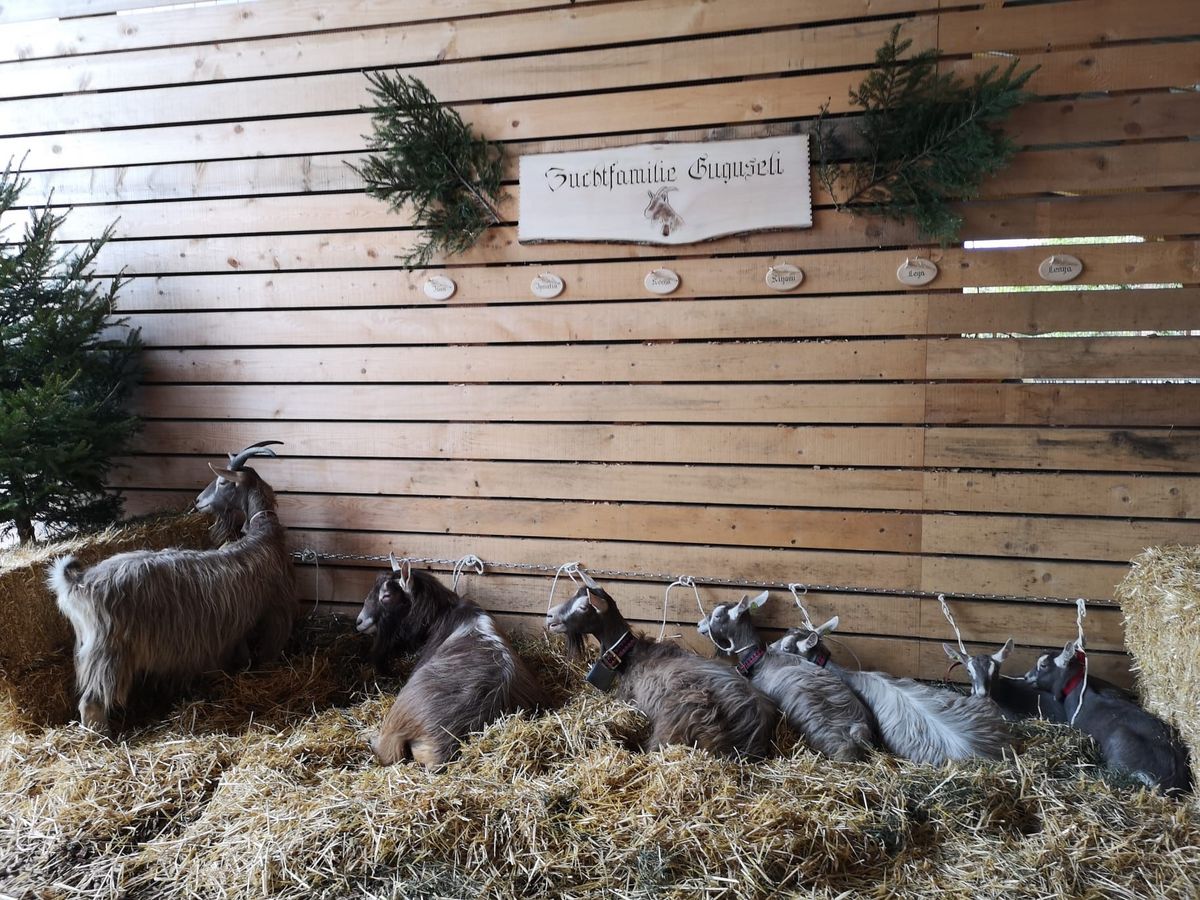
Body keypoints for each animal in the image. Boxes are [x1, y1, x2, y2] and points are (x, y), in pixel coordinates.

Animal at [48, 441, 295, 733]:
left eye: (222, 482)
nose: (198, 501)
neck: (262, 533)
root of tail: (79, 582)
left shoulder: (237, 626)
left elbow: (244, 654)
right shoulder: (276, 609)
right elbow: (270, 647)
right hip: (108, 651)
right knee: (92, 701)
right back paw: (101, 736)